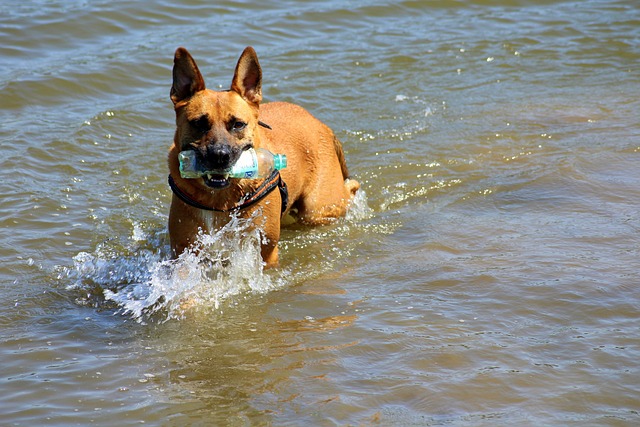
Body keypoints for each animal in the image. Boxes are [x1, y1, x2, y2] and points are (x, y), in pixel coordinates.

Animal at [166, 46, 360, 268]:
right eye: (198, 123)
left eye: (238, 124)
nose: (219, 156)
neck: (219, 201)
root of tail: (322, 125)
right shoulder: (183, 251)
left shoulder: (265, 251)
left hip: (317, 209)